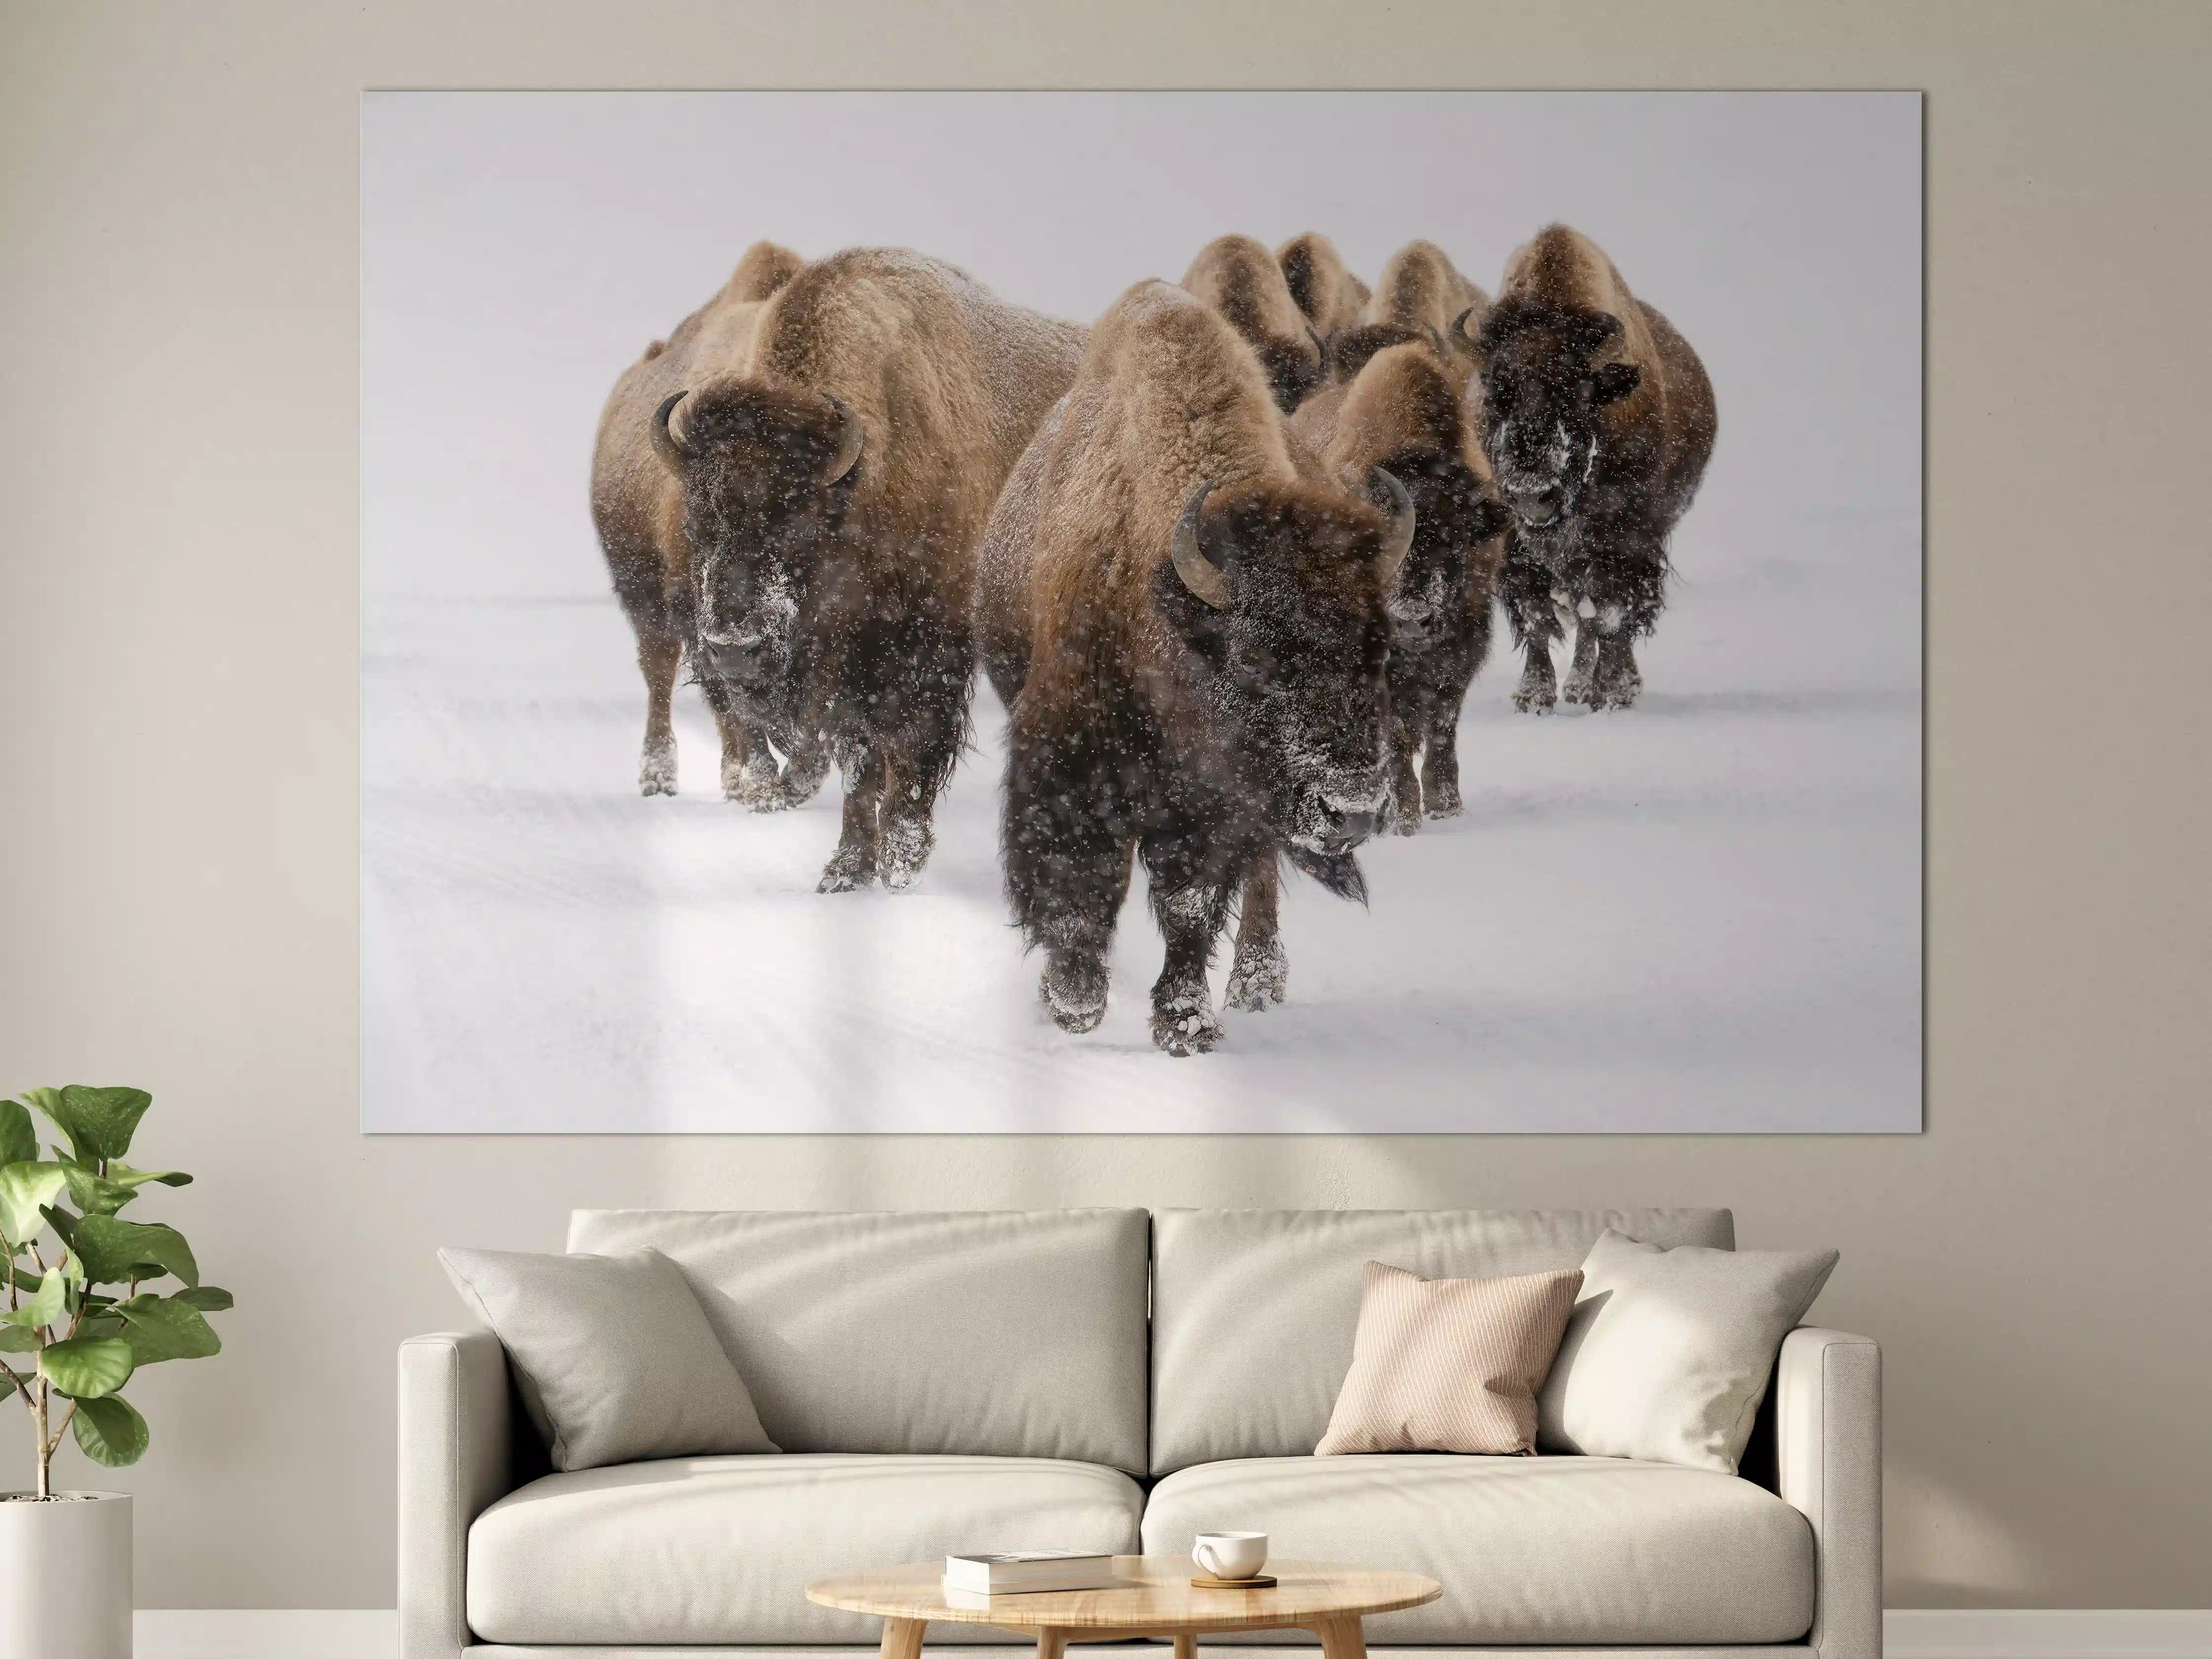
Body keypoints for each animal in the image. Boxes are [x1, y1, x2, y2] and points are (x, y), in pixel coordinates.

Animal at [649, 248, 1086, 891]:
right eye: (697, 522)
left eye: (796, 522)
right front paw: (846, 869)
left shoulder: (928, 651)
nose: (733, 648)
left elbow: (912, 746)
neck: (859, 487)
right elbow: (858, 759)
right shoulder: (846, 670)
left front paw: (901, 862)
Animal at [976, 280, 1413, 1056]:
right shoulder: (1069, 759)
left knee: (1261, 875)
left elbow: (1191, 903)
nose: (1353, 809)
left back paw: (1258, 980)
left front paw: (1185, 1024)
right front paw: (1075, 1000)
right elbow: (1079, 877)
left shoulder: (1214, 807)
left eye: (1382, 650)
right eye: (1254, 658)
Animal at [1470, 225, 1716, 711]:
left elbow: (1614, 615)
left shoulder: (1630, 540)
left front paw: (1615, 692)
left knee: (1597, 617)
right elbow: (1536, 617)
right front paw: (1533, 697)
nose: (1532, 494)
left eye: (1581, 393)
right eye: (1494, 394)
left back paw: (1597, 687)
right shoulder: (1515, 547)